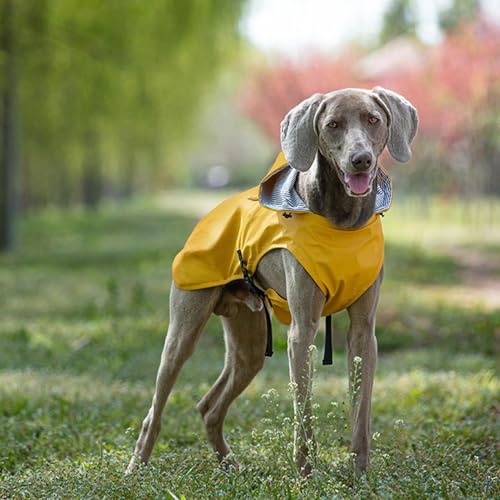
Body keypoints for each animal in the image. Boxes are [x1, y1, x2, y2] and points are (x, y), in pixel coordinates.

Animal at [128, 87, 418, 476]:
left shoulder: (363, 332)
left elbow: (361, 411)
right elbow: (304, 412)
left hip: (248, 345)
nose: (361, 160)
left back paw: (230, 465)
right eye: (333, 124)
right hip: (184, 329)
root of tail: (207, 217)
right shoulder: (302, 329)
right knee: (156, 407)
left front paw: (359, 474)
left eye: (373, 119)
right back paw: (136, 467)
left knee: (209, 406)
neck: (343, 223)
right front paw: (305, 477)